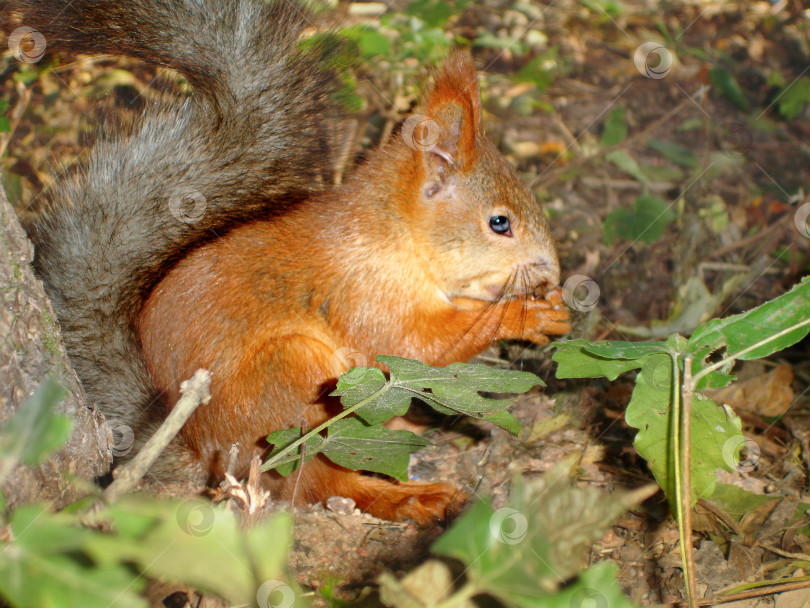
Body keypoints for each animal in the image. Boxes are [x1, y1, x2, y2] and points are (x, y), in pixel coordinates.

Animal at [12, 0, 568, 524]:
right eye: (500, 223)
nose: (554, 272)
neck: (395, 235)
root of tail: (198, 450)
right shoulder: (365, 292)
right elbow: (416, 344)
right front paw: (527, 315)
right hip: (289, 385)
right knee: (318, 480)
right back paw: (408, 497)